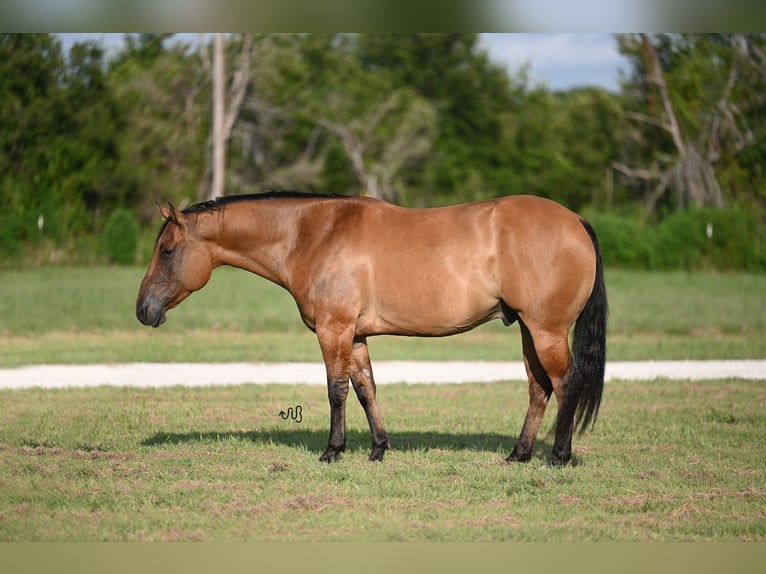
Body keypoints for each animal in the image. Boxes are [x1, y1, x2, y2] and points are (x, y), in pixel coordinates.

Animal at [135, 194, 608, 468]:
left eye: (167, 250)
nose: (143, 310)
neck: (313, 233)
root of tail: (575, 220)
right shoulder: (356, 335)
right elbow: (366, 389)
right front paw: (379, 448)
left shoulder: (333, 330)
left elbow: (336, 391)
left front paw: (332, 450)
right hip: (529, 329)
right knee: (538, 388)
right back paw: (518, 454)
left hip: (546, 330)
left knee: (565, 383)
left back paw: (559, 457)